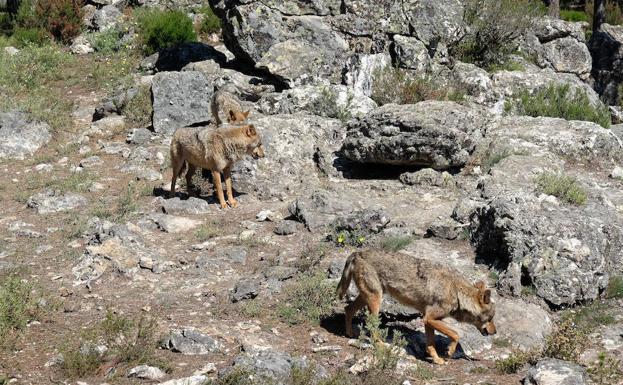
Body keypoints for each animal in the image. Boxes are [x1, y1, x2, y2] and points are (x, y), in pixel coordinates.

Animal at [336, 249, 498, 364]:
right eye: (490, 318)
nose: (495, 332)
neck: (456, 292)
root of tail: (357, 253)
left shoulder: (428, 320)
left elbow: (430, 345)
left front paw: (437, 360)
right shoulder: (429, 318)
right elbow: (456, 334)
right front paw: (450, 352)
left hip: (367, 298)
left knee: (348, 309)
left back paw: (349, 333)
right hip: (375, 300)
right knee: (371, 325)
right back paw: (381, 345)